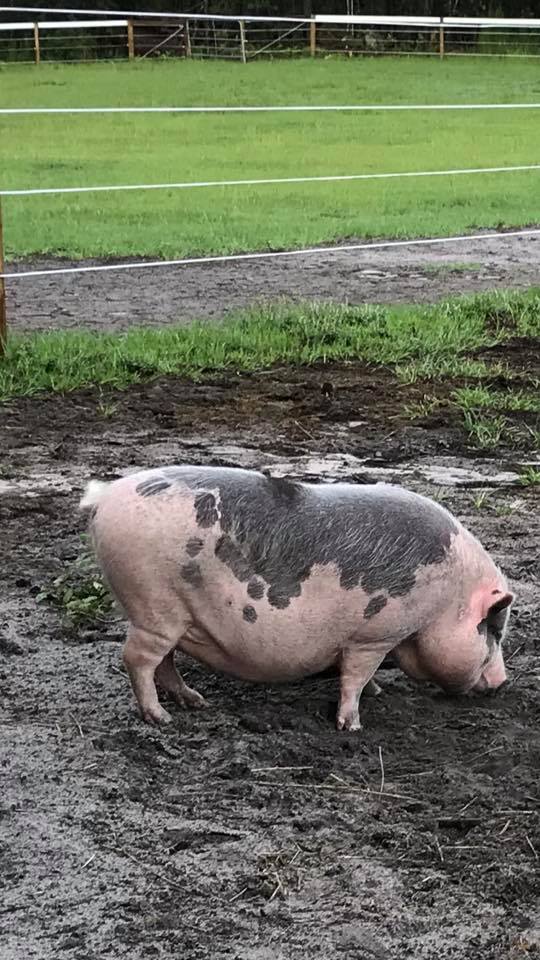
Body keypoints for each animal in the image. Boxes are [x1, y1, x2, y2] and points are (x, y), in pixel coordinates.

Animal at [80, 466, 513, 730]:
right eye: (493, 631)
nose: (503, 682)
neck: (448, 598)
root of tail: (105, 496)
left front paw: (379, 691)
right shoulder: (374, 634)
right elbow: (354, 677)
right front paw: (353, 726)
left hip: (170, 614)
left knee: (165, 662)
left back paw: (196, 702)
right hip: (152, 603)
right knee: (137, 659)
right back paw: (161, 719)